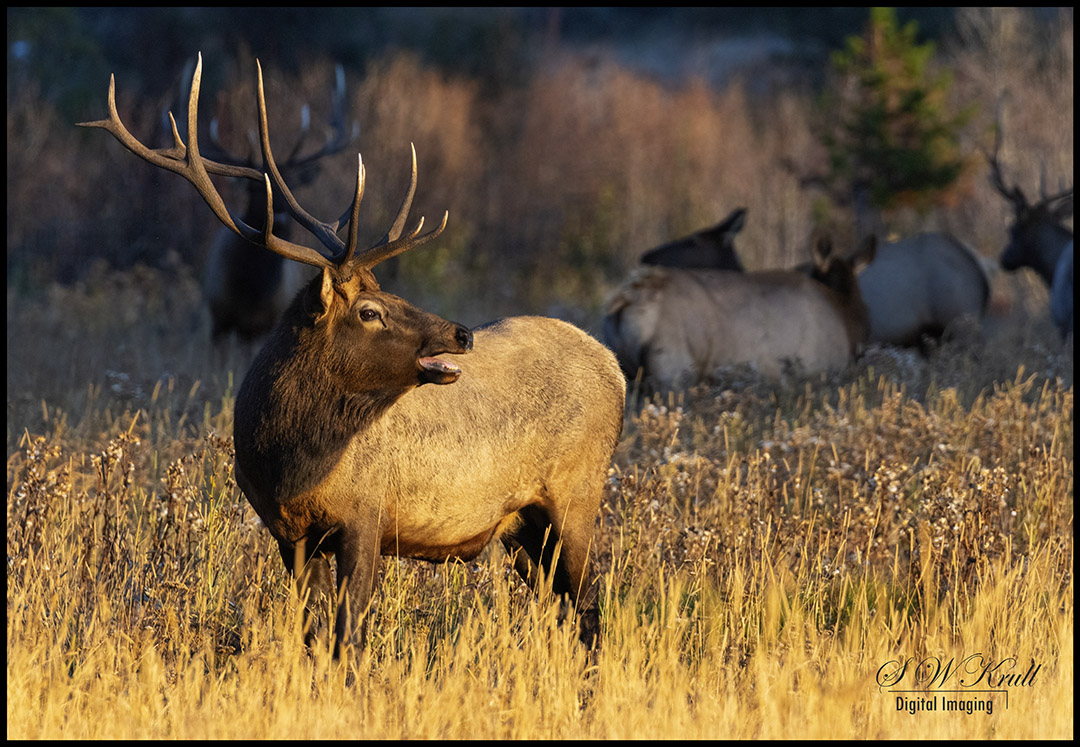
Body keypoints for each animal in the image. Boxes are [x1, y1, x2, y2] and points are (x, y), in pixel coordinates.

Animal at [79, 53, 626, 657]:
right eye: (369, 309)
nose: (461, 333)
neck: (285, 463)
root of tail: (615, 366)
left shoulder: (366, 516)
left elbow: (349, 634)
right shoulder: (289, 533)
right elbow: (311, 632)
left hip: (576, 493)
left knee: (593, 605)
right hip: (520, 525)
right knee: (569, 607)